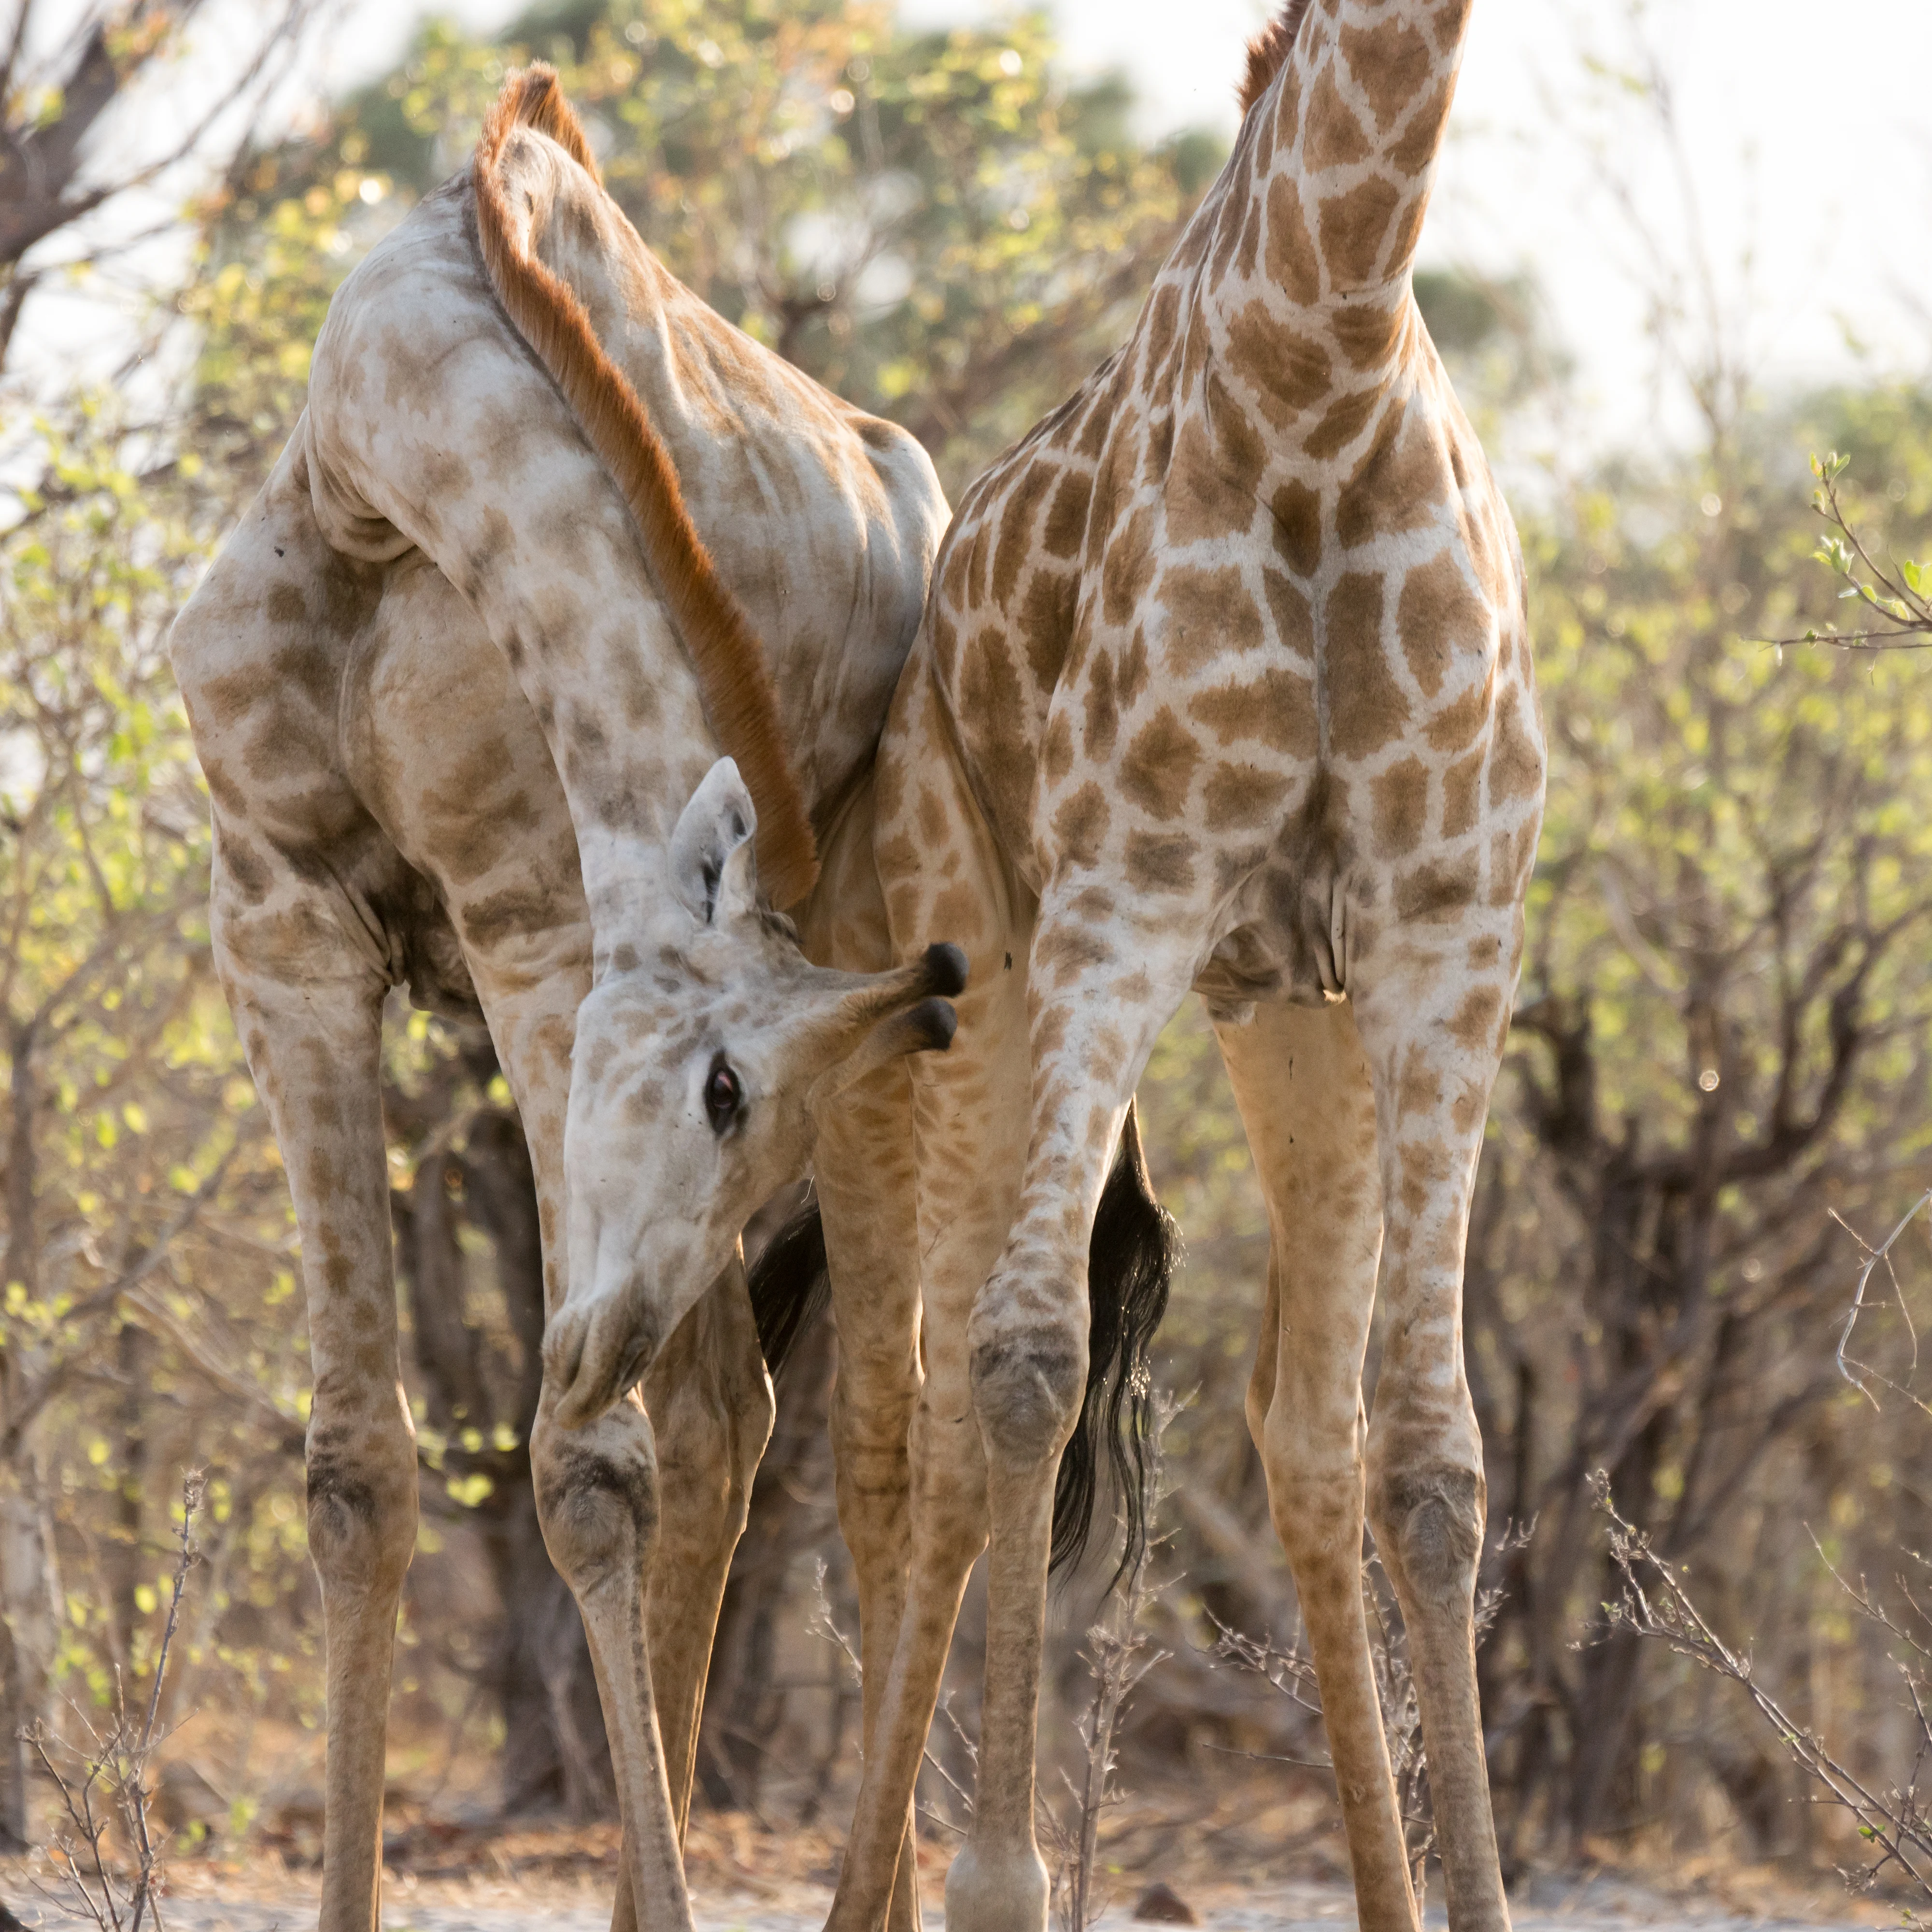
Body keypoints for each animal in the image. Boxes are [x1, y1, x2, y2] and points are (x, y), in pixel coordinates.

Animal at [168, 68, 960, 1932]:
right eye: (724, 1090)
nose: (598, 1337)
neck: (381, 468)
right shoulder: (280, 924)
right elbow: (357, 1466)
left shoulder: (537, 929)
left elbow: (589, 1469)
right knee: (732, 1415)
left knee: (852, 1434)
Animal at [808, 0, 1546, 1926]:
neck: (1326, 355)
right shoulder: (1124, 891)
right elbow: (1027, 1363)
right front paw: (999, 1882)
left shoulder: (1445, 920)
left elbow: (1431, 1452)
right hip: (981, 966)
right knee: (945, 1397)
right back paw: (884, 1882)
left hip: (1287, 1014)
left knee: (1301, 1423)